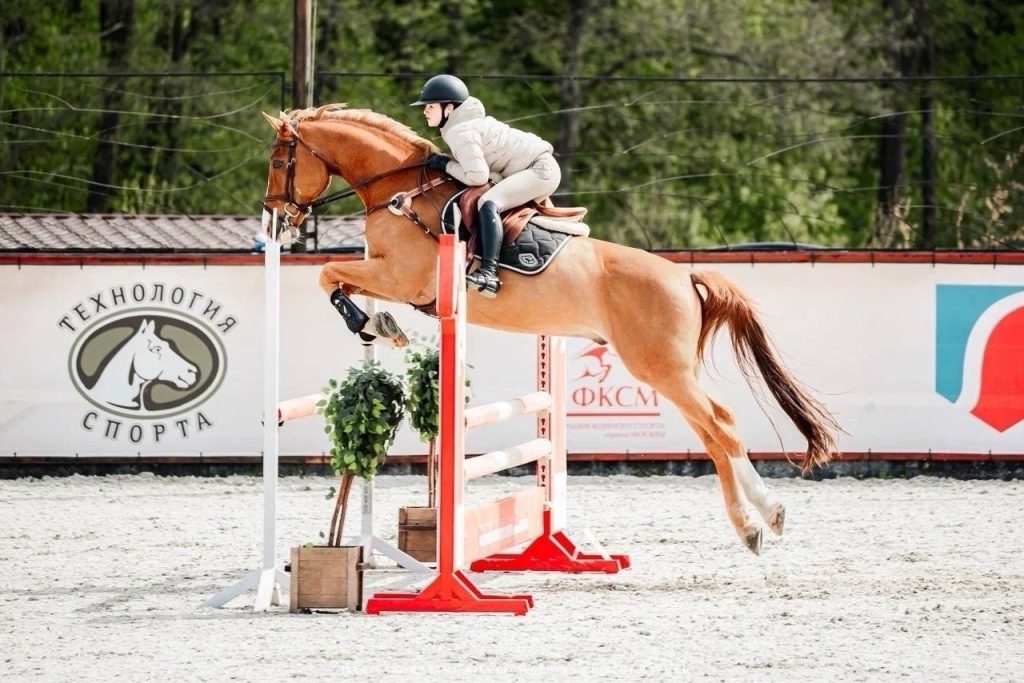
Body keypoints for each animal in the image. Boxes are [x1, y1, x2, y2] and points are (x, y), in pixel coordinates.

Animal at [259, 104, 841, 554]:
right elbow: (338, 279)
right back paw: (755, 524)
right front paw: (379, 325)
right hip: (669, 372)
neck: (398, 191)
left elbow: (326, 273)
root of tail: (683, 274)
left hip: (661, 368)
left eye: (278, 161)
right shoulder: (389, 275)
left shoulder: (403, 276)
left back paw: (765, 517)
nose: (273, 220)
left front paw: (368, 322)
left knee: (722, 425)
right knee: (713, 436)